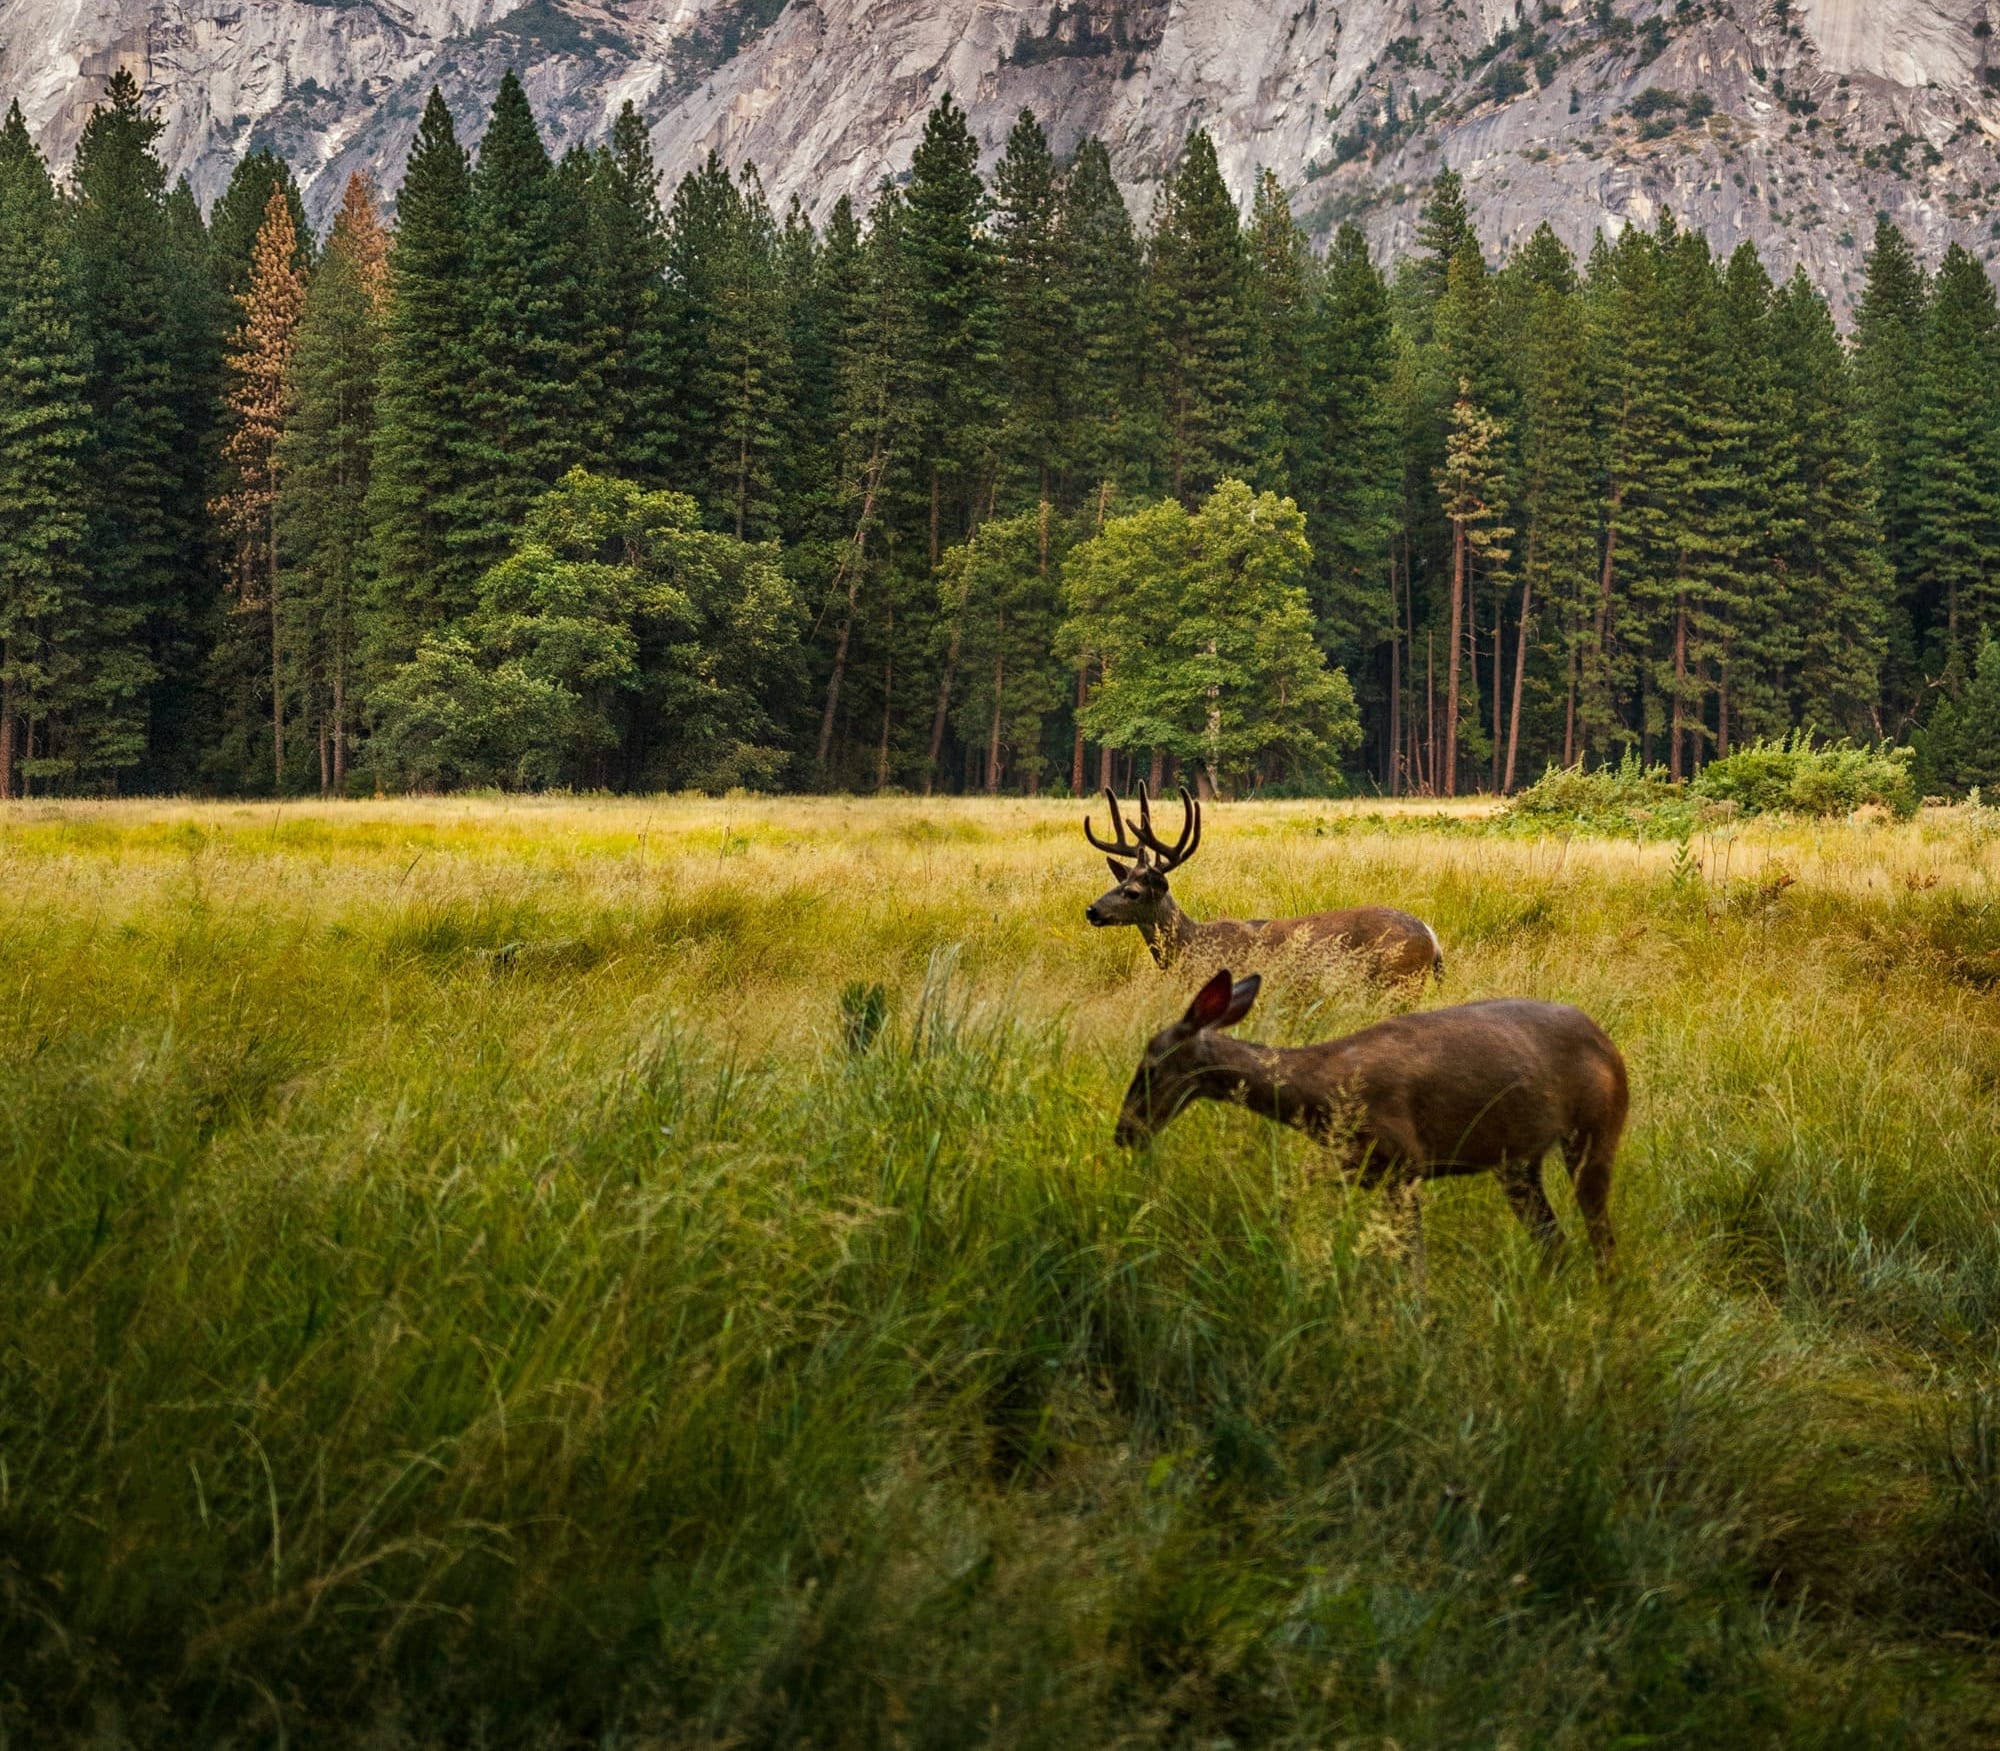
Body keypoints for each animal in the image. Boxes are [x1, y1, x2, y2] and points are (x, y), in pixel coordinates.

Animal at [1088, 783, 1448, 983]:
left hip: (1399, 979)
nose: (1091, 910)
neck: (1192, 946)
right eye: (1117, 883)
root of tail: (1432, 936)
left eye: (1133, 892)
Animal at [1112, 971, 1624, 1271]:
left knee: (1601, 1239)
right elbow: (1290, 1197)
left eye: (1149, 1068)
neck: (1321, 1091)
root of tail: (1608, 1044)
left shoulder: (1404, 1161)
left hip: (1596, 1131)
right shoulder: (1354, 1164)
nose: (1124, 1134)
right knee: (1555, 1241)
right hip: (1517, 1163)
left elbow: (1412, 1262)